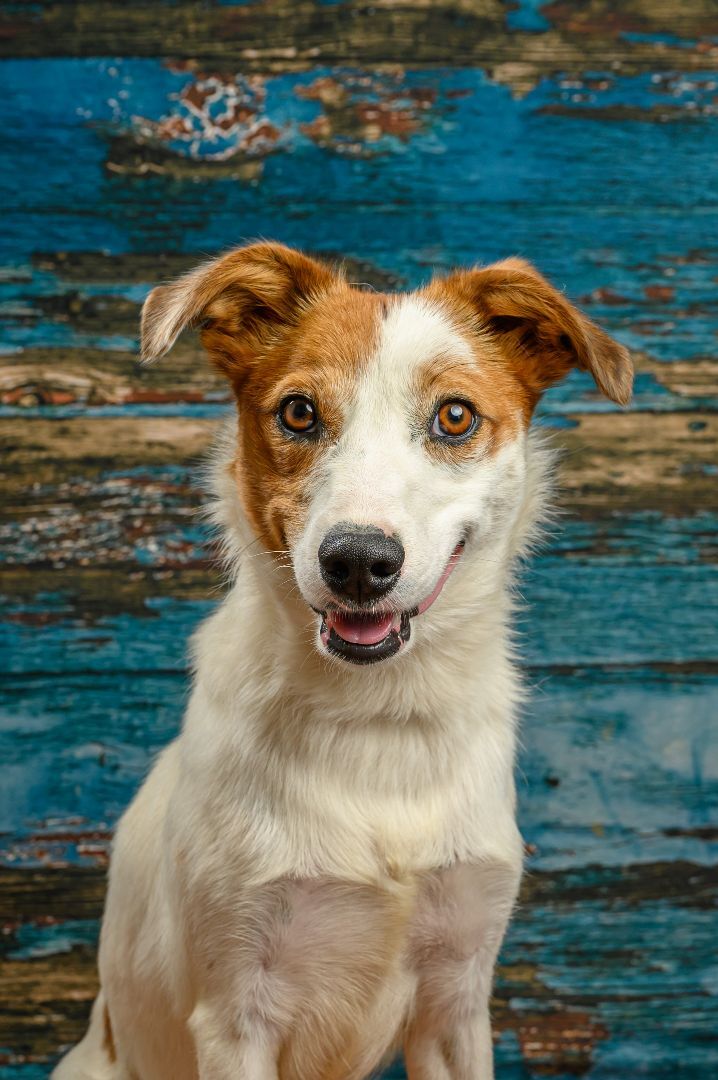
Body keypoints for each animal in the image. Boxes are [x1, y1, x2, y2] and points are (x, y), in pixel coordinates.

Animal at [54, 245, 626, 1080]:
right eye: (299, 412)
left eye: (455, 416)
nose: (358, 560)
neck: (377, 717)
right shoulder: (235, 1013)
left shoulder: (456, 999)